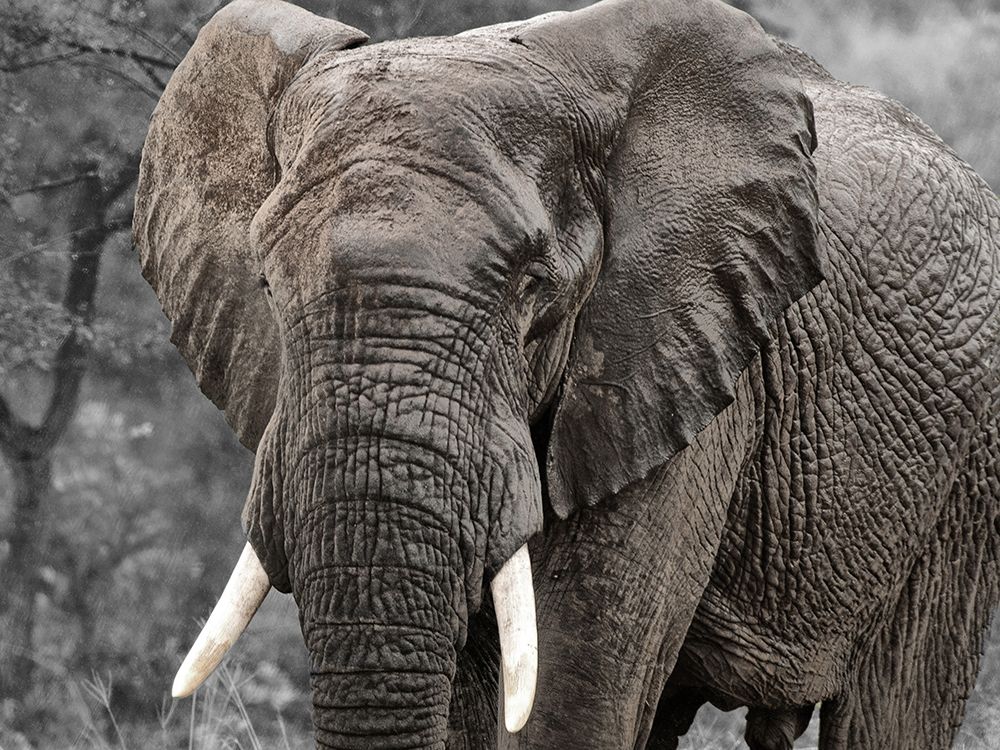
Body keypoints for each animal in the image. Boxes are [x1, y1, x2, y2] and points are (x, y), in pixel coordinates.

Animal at [131, 0, 1000, 748]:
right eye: (267, 284)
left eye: (532, 286)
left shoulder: (681, 367)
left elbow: (570, 694)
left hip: (963, 476)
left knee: (896, 705)